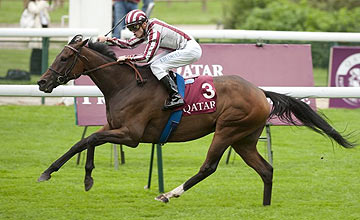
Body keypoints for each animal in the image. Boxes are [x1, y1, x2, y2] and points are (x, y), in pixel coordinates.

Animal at [37, 34, 354, 206]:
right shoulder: (115, 128)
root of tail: (259, 91)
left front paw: (76, 175)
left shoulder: (132, 135)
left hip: (227, 131)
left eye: (63, 57)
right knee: (266, 170)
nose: (42, 82)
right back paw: (265, 206)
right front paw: (64, 174)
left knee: (208, 167)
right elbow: (84, 143)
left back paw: (168, 194)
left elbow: (90, 138)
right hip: (244, 140)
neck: (126, 84)